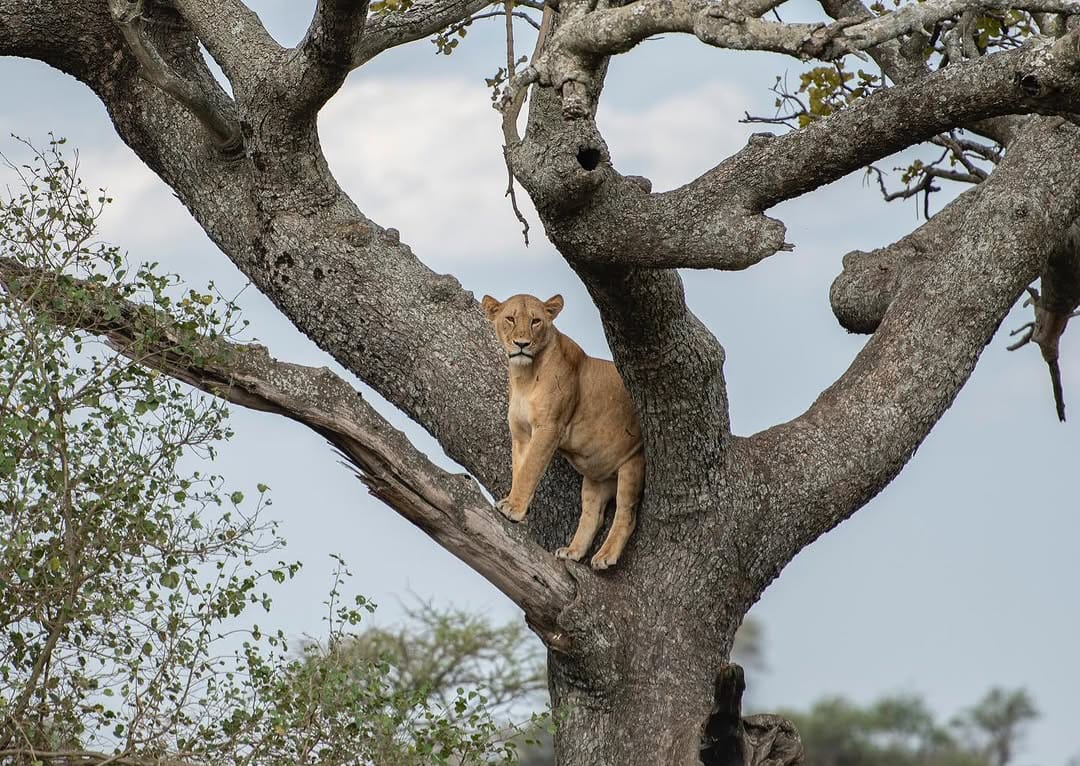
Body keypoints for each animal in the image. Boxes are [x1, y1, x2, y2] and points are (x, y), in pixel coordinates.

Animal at [481, 293, 644, 570]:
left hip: (633, 463)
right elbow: (519, 469)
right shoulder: (521, 433)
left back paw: (605, 556)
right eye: (510, 318)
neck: (524, 375)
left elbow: (530, 470)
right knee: (593, 515)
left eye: (536, 321)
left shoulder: (549, 428)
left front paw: (513, 508)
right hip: (596, 477)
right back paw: (573, 551)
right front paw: (514, 503)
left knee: (626, 514)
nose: (521, 344)